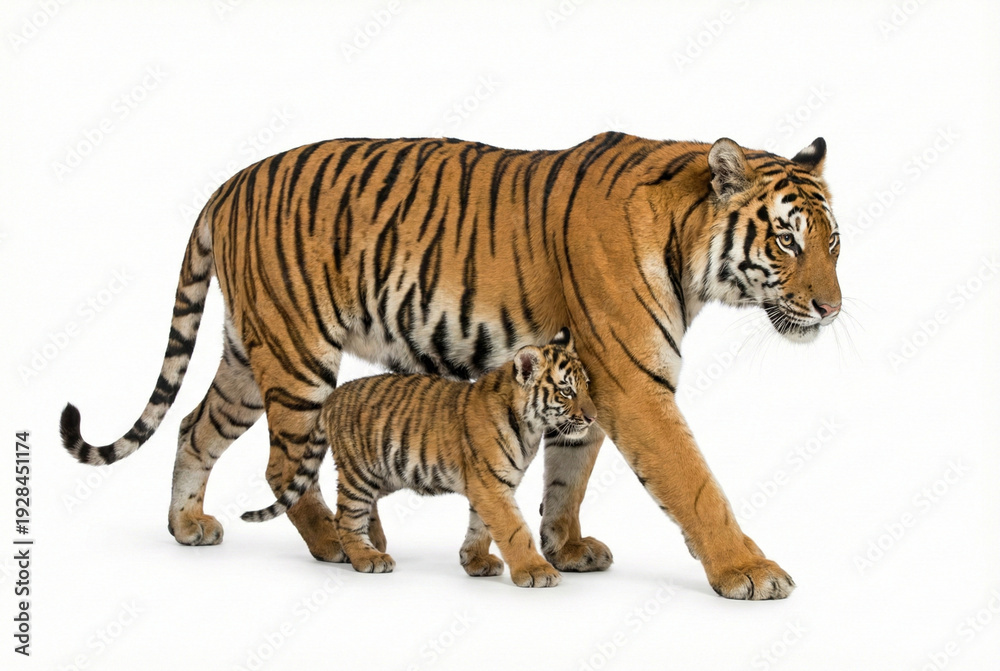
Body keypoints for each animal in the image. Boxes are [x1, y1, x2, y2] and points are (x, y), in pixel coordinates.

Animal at [240, 329, 594, 588]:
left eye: (587, 386)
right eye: (566, 391)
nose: (592, 417)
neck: (531, 427)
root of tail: (334, 397)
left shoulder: (493, 485)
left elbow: (481, 526)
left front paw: (475, 561)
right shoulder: (490, 484)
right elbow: (513, 529)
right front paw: (536, 571)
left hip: (387, 473)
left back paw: (375, 542)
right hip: (360, 472)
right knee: (345, 517)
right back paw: (367, 557)